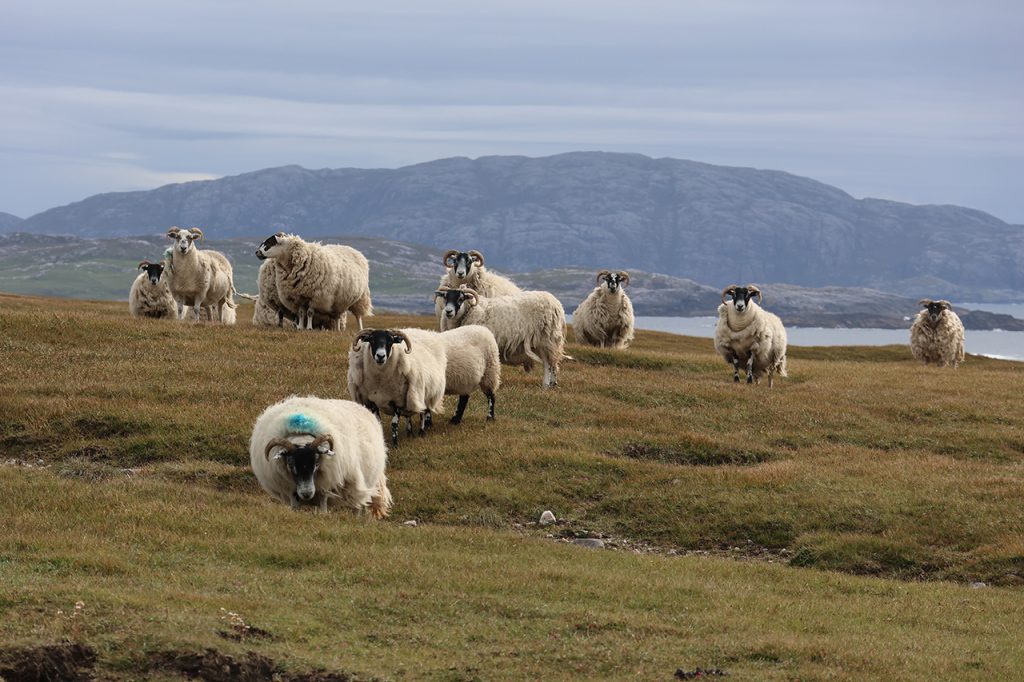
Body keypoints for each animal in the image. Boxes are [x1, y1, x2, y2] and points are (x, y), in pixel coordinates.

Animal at [249, 395, 392, 517]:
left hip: (359, 483)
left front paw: (323, 515)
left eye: (317, 463)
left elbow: (323, 505)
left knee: (357, 505)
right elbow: (295, 505)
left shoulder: (324, 485)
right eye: (290, 464)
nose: (307, 494)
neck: (300, 433)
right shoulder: (291, 489)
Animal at [435, 286, 566, 388]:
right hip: (540, 342)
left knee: (550, 363)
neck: (470, 310)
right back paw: (550, 384)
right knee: (548, 362)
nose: (448, 311)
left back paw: (548, 384)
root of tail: (556, 302)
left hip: (548, 339)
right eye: (446, 298)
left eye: (461, 299)